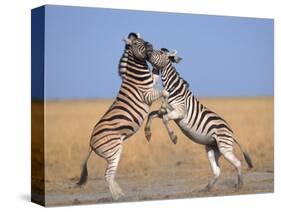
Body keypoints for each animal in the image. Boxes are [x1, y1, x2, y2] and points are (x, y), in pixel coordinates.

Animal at [75, 32, 167, 200]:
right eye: (137, 43)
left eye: (145, 40)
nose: (150, 46)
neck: (137, 76)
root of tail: (90, 143)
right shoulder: (146, 95)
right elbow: (164, 92)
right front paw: (164, 105)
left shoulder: (152, 84)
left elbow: (156, 76)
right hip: (113, 150)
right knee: (107, 175)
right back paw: (117, 197)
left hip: (114, 152)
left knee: (110, 175)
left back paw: (121, 194)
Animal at [144, 48, 252, 191]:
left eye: (160, 53)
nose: (147, 51)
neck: (172, 89)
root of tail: (232, 133)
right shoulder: (166, 110)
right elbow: (152, 115)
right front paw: (147, 133)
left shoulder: (179, 112)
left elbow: (165, 120)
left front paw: (173, 138)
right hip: (213, 149)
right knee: (217, 170)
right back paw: (207, 188)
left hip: (224, 148)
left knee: (238, 163)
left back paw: (239, 186)